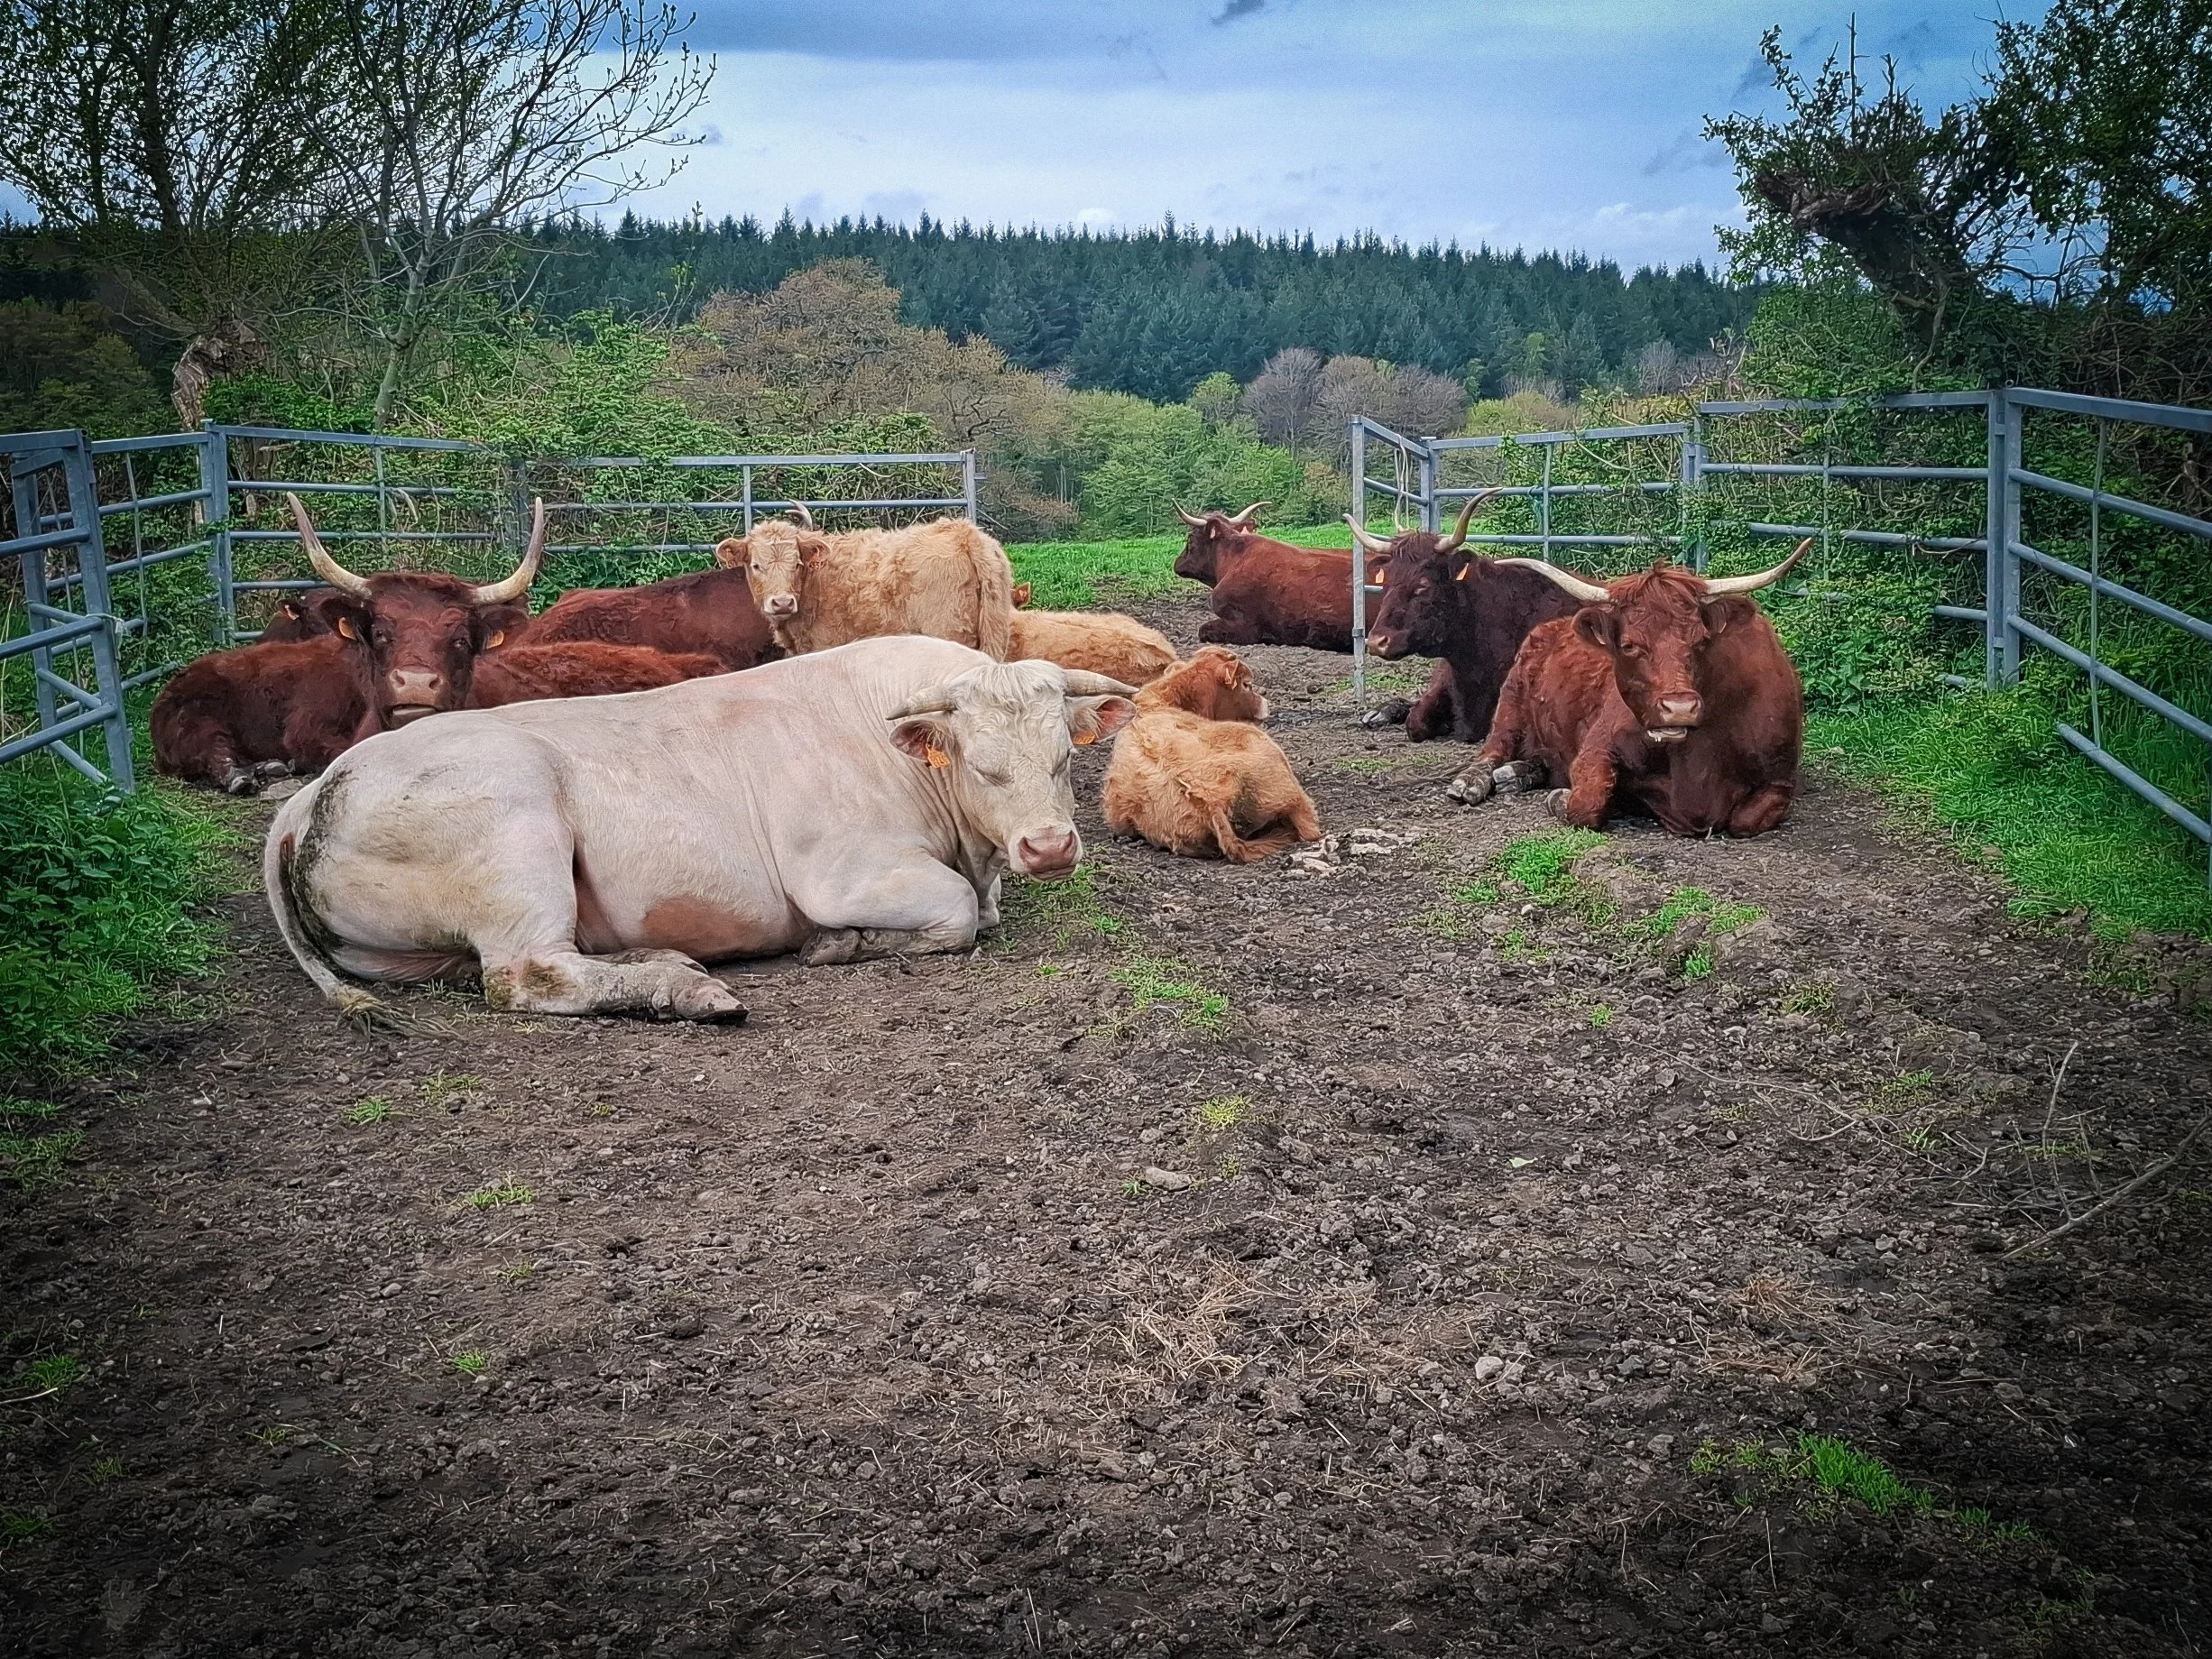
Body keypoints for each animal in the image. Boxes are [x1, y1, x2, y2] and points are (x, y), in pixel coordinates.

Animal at [262, 637, 1139, 1022]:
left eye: (1065, 756)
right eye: (984, 768)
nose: (1050, 847)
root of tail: (317, 790)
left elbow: (976, 908)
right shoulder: (843, 872)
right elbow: (957, 913)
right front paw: (845, 944)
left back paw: (659, 958)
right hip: (516, 833)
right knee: (524, 975)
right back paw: (684, 989)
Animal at [1445, 541, 1811, 837]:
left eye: (1702, 640)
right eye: (1629, 645)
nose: (1679, 708)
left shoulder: (1780, 782)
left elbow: (1743, 820)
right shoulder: (1597, 746)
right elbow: (1587, 803)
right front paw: (1562, 798)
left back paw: (1519, 774)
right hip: (1511, 697)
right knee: (1493, 748)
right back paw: (1473, 782)